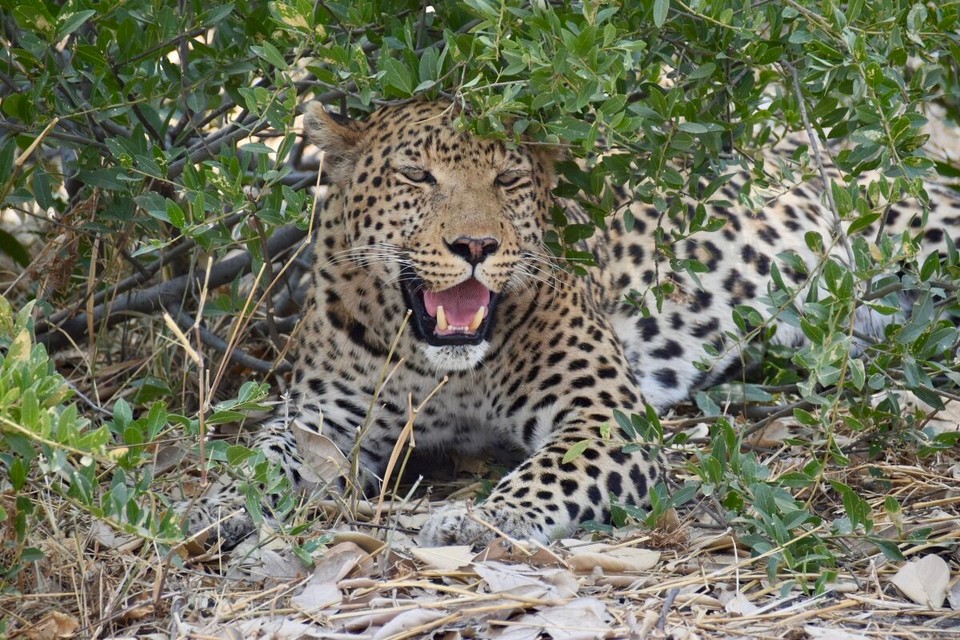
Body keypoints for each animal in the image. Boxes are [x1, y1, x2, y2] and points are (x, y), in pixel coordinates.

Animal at [185, 99, 960, 550]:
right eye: (415, 176)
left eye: (508, 180)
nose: (475, 246)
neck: (446, 374)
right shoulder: (322, 417)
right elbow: (260, 455)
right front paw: (213, 507)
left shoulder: (605, 415)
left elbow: (551, 472)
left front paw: (480, 518)